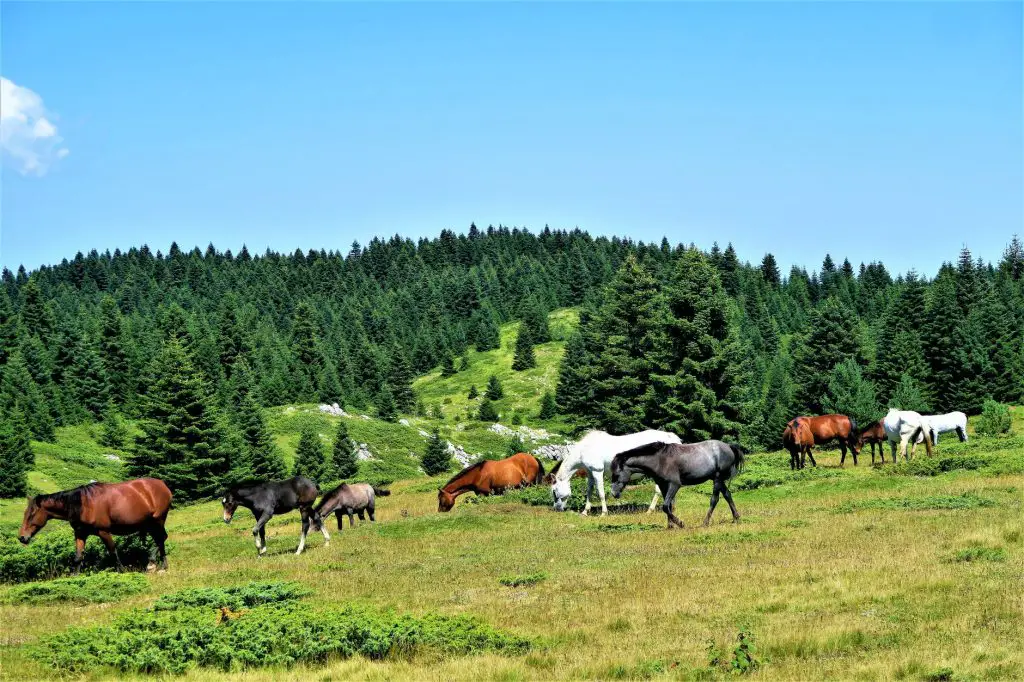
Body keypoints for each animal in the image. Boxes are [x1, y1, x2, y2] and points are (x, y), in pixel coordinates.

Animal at [18, 477, 172, 573]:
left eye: (31, 514)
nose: (22, 537)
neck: (83, 505)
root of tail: (163, 485)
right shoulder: (80, 533)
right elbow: (78, 557)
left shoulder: (104, 532)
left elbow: (113, 551)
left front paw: (122, 571)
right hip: (149, 524)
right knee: (160, 539)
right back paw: (163, 565)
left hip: (157, 520)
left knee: (161, 538)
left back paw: (152, 563)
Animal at [548, 428, 684, 512]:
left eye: (554, 491)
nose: (557, 508)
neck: (585, 449)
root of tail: (671, 438)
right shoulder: (590, 474)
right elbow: (589, 492)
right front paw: (585, 511)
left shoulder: (598, 471)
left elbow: (601, 493)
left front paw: (604, 513)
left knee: (658, 491)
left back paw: (650, 511)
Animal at [606, 438, 745, 528]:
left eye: (616, 474)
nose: (613, 493)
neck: (660, 460)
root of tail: (729, 446)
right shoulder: (663, 486)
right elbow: (668, 506)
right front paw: (670, 526)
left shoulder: (674, 485)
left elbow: (665, 506)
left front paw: (680, 523)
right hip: (719, 480)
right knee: (727, 495)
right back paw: (736, 518)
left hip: (717, 479)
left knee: (714, 500)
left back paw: (705, 523)